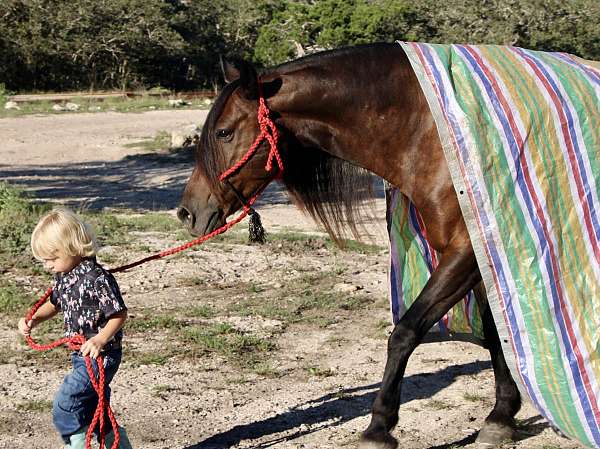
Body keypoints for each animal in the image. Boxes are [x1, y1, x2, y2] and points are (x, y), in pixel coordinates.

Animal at [177, 43, 520, 448]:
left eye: (224, 132)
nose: (187, 212)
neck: (429, 132)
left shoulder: (466, 251)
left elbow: (405, 331)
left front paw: (379, 426)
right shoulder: (479, 255)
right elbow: (496, 333)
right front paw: (502, 415)